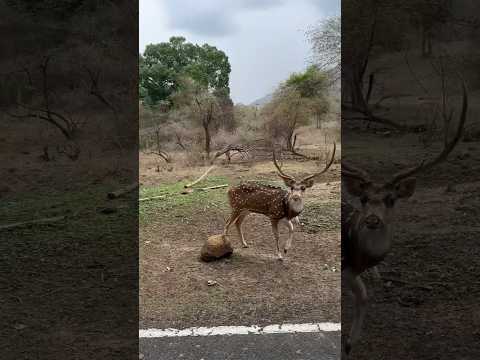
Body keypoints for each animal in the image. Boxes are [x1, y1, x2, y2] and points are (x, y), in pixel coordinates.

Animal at [342, 83, 468, 356]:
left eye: (390, 199)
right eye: (364, 198)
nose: (372, 220)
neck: (361, 254)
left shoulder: (353, 269)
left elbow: (364, 297)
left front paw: (350, 343)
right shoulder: (347, 266)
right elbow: (361, 296)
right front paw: (347, 343)